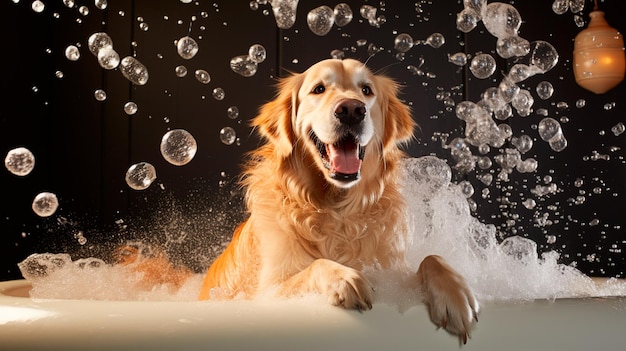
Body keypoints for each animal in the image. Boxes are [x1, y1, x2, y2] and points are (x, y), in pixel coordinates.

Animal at [196, 59, 478, 342]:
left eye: (366, 90)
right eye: (318, 89)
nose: (352, 110)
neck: (337, 213)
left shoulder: (394, 280)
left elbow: (432, 258)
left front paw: (456, 294)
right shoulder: (266, 294)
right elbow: (315, 266)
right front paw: (344, 278)